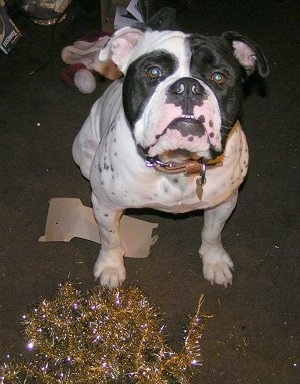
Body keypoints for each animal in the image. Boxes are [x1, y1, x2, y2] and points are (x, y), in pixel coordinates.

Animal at [71, 27, 268, 288]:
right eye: (154, 72)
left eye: (218, 77)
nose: (188, 87)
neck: (178, 162)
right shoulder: (105, 205)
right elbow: (110, 237)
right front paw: (111, 267)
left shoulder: (224, 202)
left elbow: (213, 233)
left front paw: (214, 261)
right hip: (83, 154)